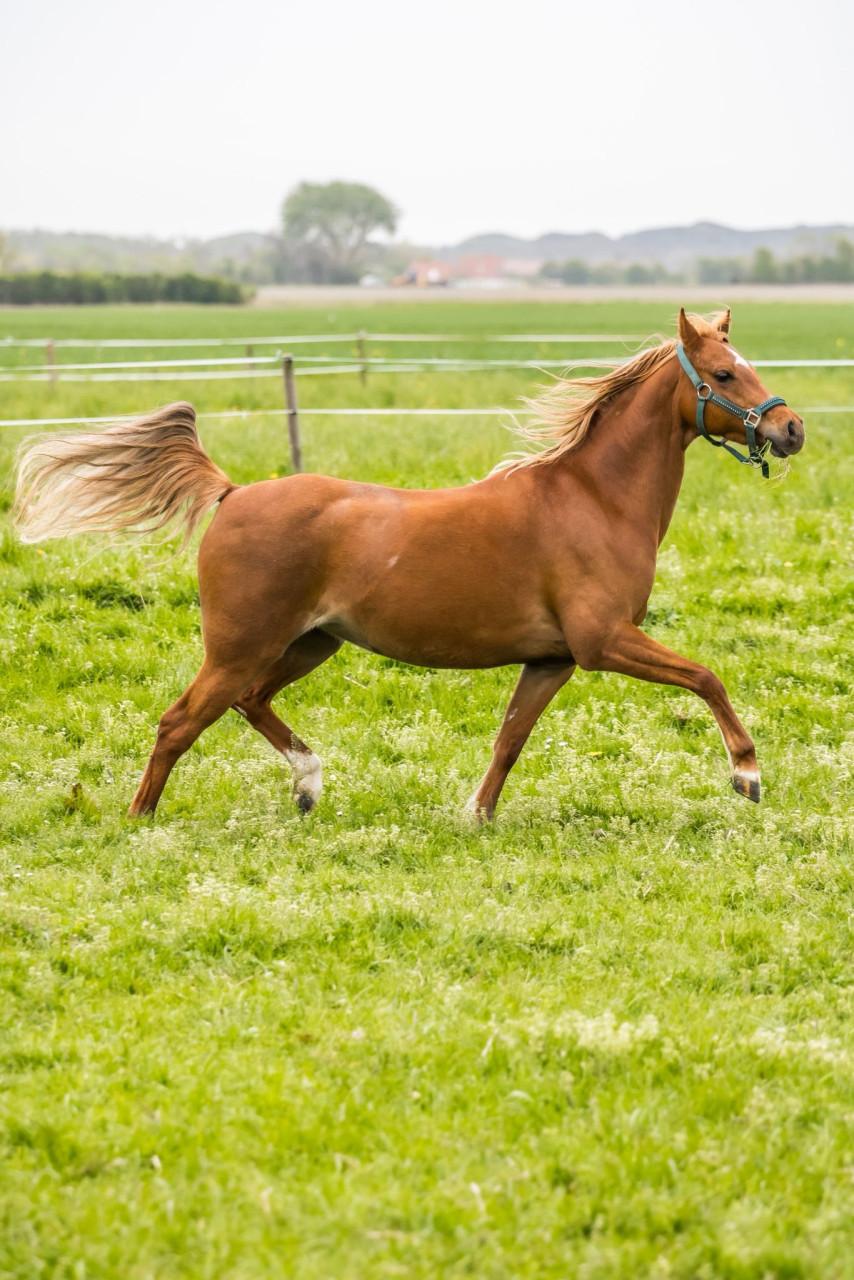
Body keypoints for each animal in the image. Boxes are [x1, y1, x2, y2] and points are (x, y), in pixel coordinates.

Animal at [13, 308, 804, 821]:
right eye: (724, 372)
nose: (791, 428)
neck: (593, 499)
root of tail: (232, 493)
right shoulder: (604, 641)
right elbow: (707, 676)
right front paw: (748, 775)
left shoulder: (552, 659)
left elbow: (509, 740)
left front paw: (476, 816)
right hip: (242, 648)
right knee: (179, 722)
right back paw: (140, 821)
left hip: (309, 645)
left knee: (249, 703)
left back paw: (308, 784)